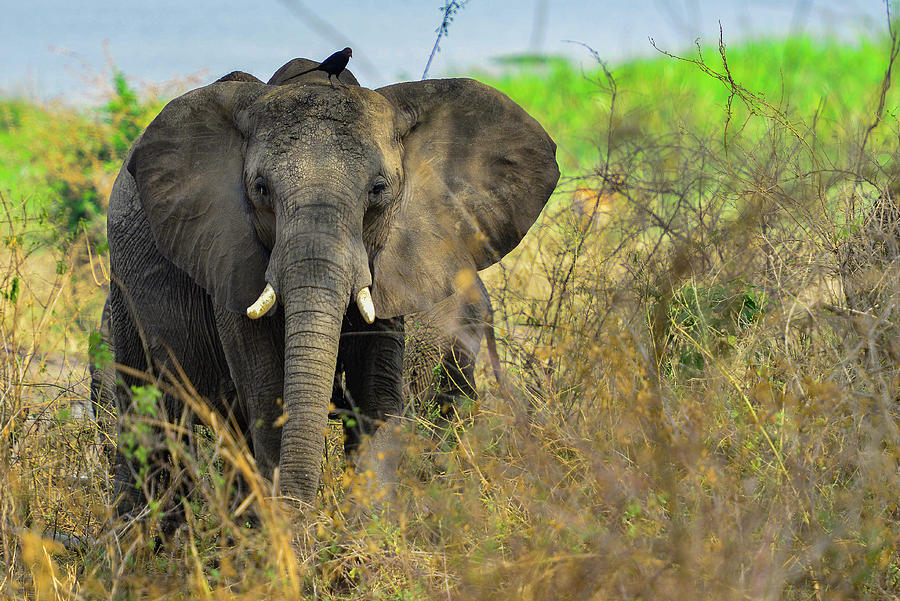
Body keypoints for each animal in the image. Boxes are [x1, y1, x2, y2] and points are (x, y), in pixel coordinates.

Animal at [91, 52, 556, 520]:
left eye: (379, 190)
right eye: (260, 189)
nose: (303, 516)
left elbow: (376, 397)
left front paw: (365, 531)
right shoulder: (230, 253)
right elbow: (268, 397)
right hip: (124, 291)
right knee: (151, 421)